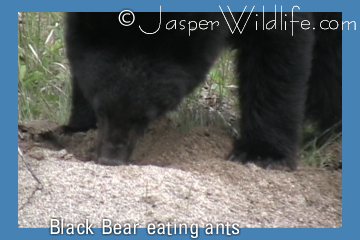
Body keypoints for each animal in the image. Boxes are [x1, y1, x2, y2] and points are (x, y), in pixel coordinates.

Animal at [62, 11, 344, 169]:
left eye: (144, 117)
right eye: (101, 110)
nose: (111, 158)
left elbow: (279, 47)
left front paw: (261, 153)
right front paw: (76, 126)